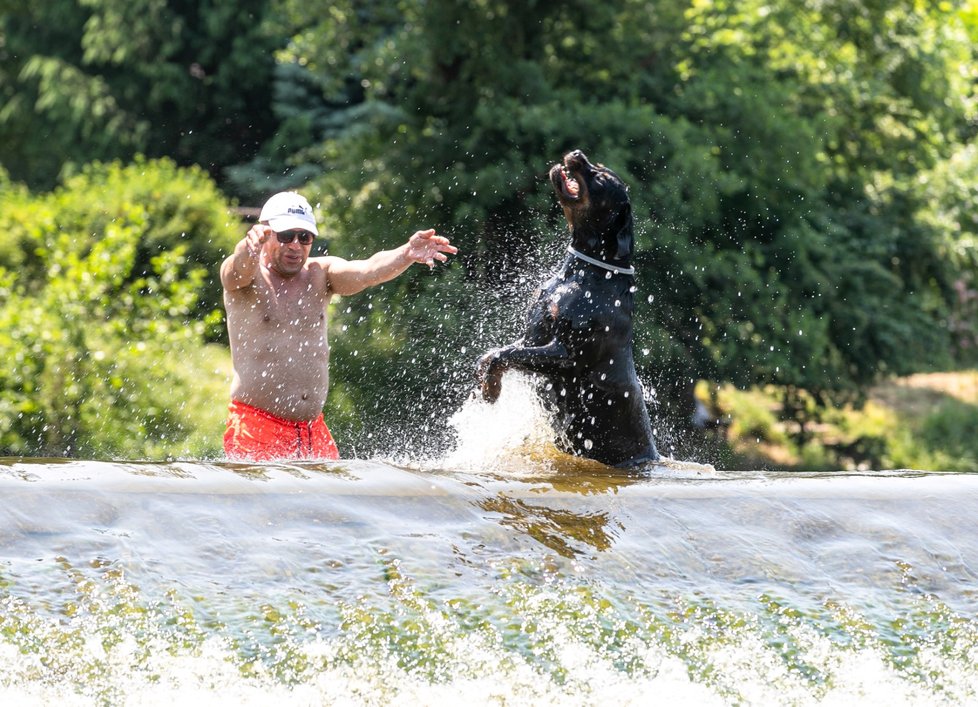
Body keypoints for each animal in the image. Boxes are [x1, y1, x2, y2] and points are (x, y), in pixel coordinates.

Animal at [476, 150, 660, 470]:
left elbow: (506, 355)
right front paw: (483, 376)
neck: (586, 275)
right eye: (598, 165)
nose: (577, 154)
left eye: (600, 177)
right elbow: (500, 352)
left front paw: (491, 388)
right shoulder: (534, 334)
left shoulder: (567, 356)